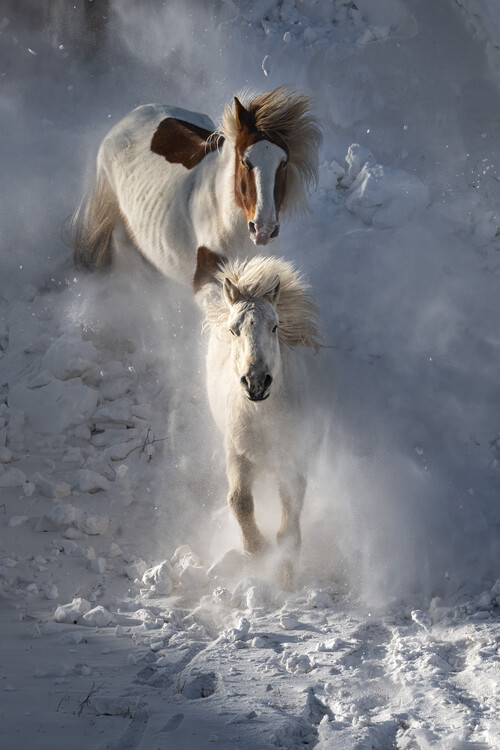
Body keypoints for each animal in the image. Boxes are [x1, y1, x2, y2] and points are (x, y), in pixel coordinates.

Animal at [194, 246, 323, 589]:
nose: (256, 382)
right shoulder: (237, 455)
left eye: (274, 326)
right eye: (233, 329)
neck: (264, 420)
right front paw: (257, 550)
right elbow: (239, 500)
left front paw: (286, 575)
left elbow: (289, 518)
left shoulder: (292, 462)